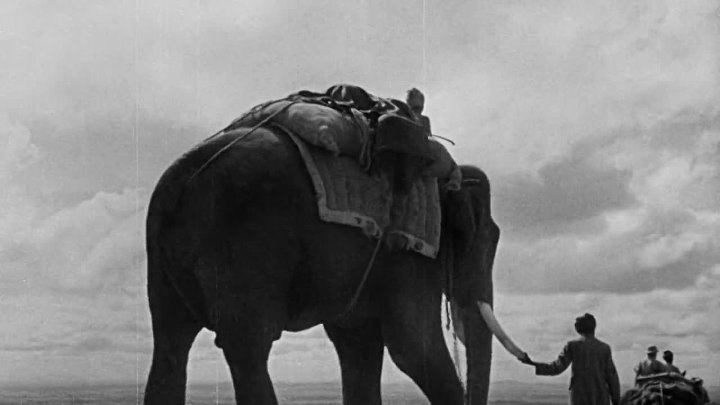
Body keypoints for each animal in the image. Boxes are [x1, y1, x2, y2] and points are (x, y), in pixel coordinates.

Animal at [143, 123, 522, 405]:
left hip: (167, 260)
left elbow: (358, 347)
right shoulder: (411, 252)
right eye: (489, 239)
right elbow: (414, 348)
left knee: (170, 345)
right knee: (249, 347)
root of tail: (179, 178)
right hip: (244, 242)